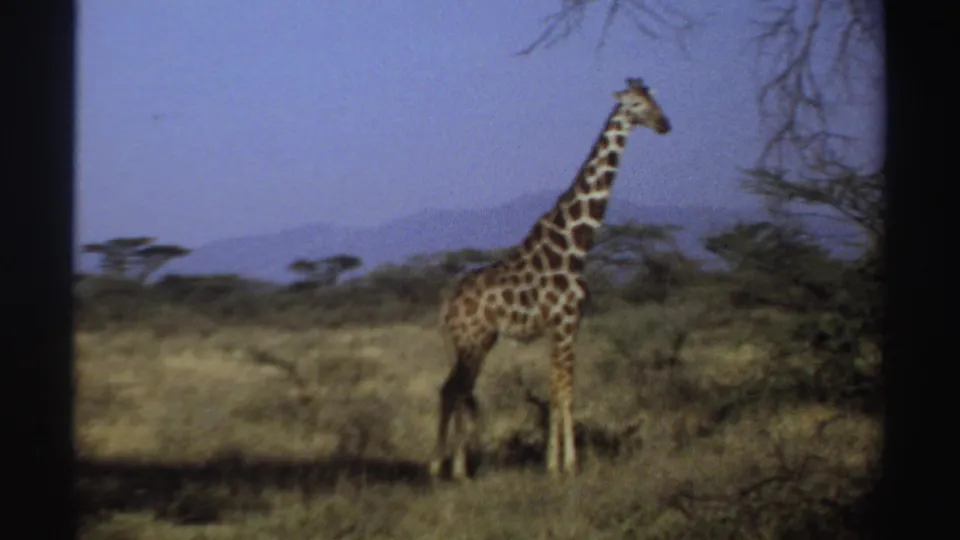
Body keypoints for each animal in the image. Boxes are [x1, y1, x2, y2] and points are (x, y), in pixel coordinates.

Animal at [428, 77, 672, 480]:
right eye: (636, 104)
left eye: (654, 99)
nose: (664, 124)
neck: (575, 246)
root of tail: (445, 304)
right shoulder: (566, 323)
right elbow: (566, 391)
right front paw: (569, 465)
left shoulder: (558, 329)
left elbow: (555, 390)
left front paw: (551, 463)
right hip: (472, 341)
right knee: (454, 390)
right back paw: (442, 468)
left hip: (473, 342)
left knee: (457, 390)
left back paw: (458, 469)